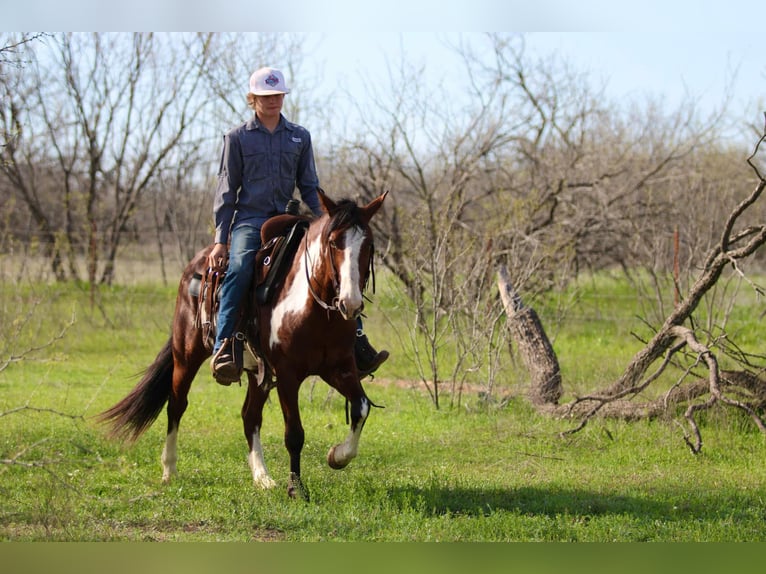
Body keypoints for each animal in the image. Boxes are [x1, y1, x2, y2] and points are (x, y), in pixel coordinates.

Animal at [98, 189, 388, 501]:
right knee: (176, 405)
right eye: (334, 242)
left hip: (257, 373)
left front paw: (337, 456)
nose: (350, 303)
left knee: (250, 416)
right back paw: (169, 470)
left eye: (368, 244)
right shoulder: (288, 376)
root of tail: (197, 263)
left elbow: (361, 408)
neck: (314, 310)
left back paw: (262, 477)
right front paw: (296, 489)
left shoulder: (339, 369)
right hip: (186, 355)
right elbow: (294, 434)